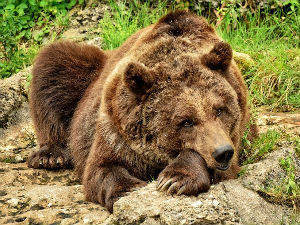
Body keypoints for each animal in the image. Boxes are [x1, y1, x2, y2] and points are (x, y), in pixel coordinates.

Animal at [27, 11, 251, 213]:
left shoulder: (234, 138)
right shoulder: (116, 130)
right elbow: (101, 168)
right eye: (186, 121)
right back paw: (50, 155)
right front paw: (127, 189)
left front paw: (175, 179)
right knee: (54, 63)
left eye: (220, 110)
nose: (223, 152)